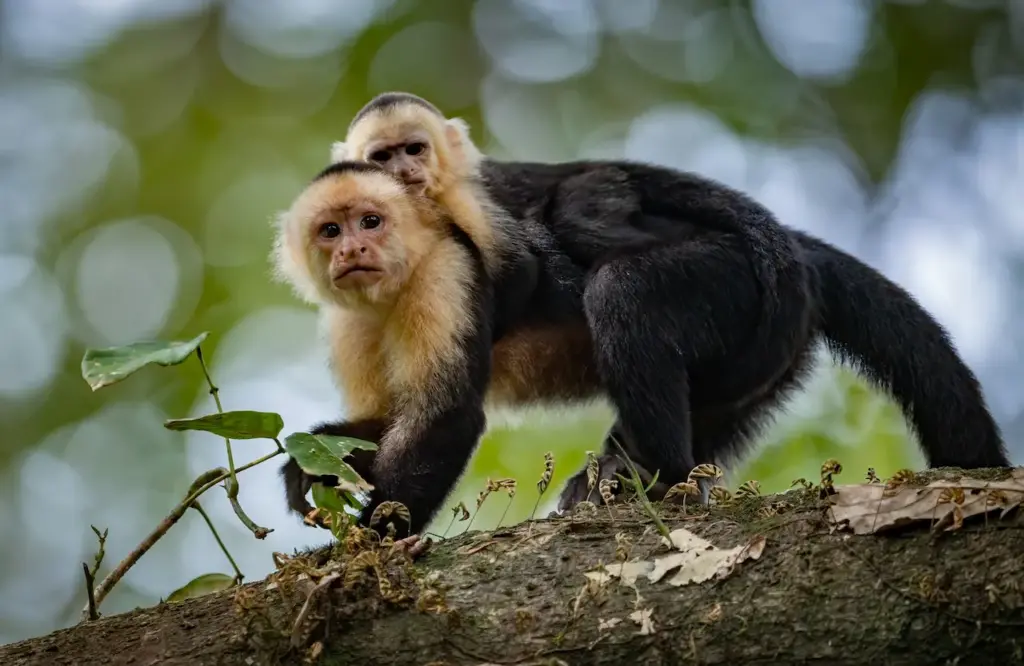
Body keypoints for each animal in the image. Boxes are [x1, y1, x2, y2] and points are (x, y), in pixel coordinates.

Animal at [284, 89, 1011, 532]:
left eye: (371, 221)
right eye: (332, 231)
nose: (354, 248)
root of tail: (797, 256)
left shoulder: (449, 266)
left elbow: (449, 416)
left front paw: (370, 544)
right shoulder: (347, 321)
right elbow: (383, 421)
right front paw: (311, 467)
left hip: (730, 281)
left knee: (621, 288)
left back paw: (658, 478)